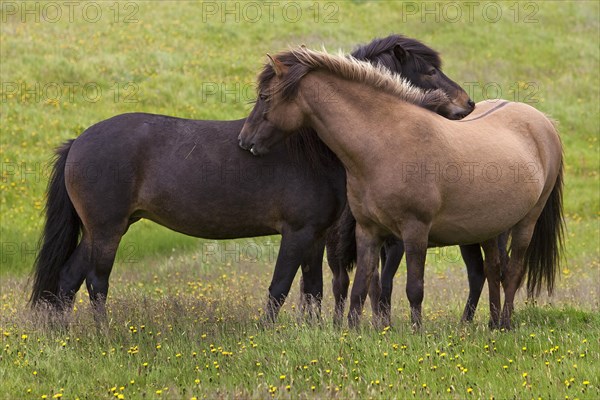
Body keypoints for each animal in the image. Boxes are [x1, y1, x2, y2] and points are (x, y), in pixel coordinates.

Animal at [30, 33, 478, 322]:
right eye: (429, 72)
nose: (467, 105)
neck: (312, 148)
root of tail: (78, 141)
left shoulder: (316, 235)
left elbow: (313, 291)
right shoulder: (296, 232)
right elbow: (280, 288)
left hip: (102, 229)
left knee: (67, 280)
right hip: (107, 230)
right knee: (95, 282)